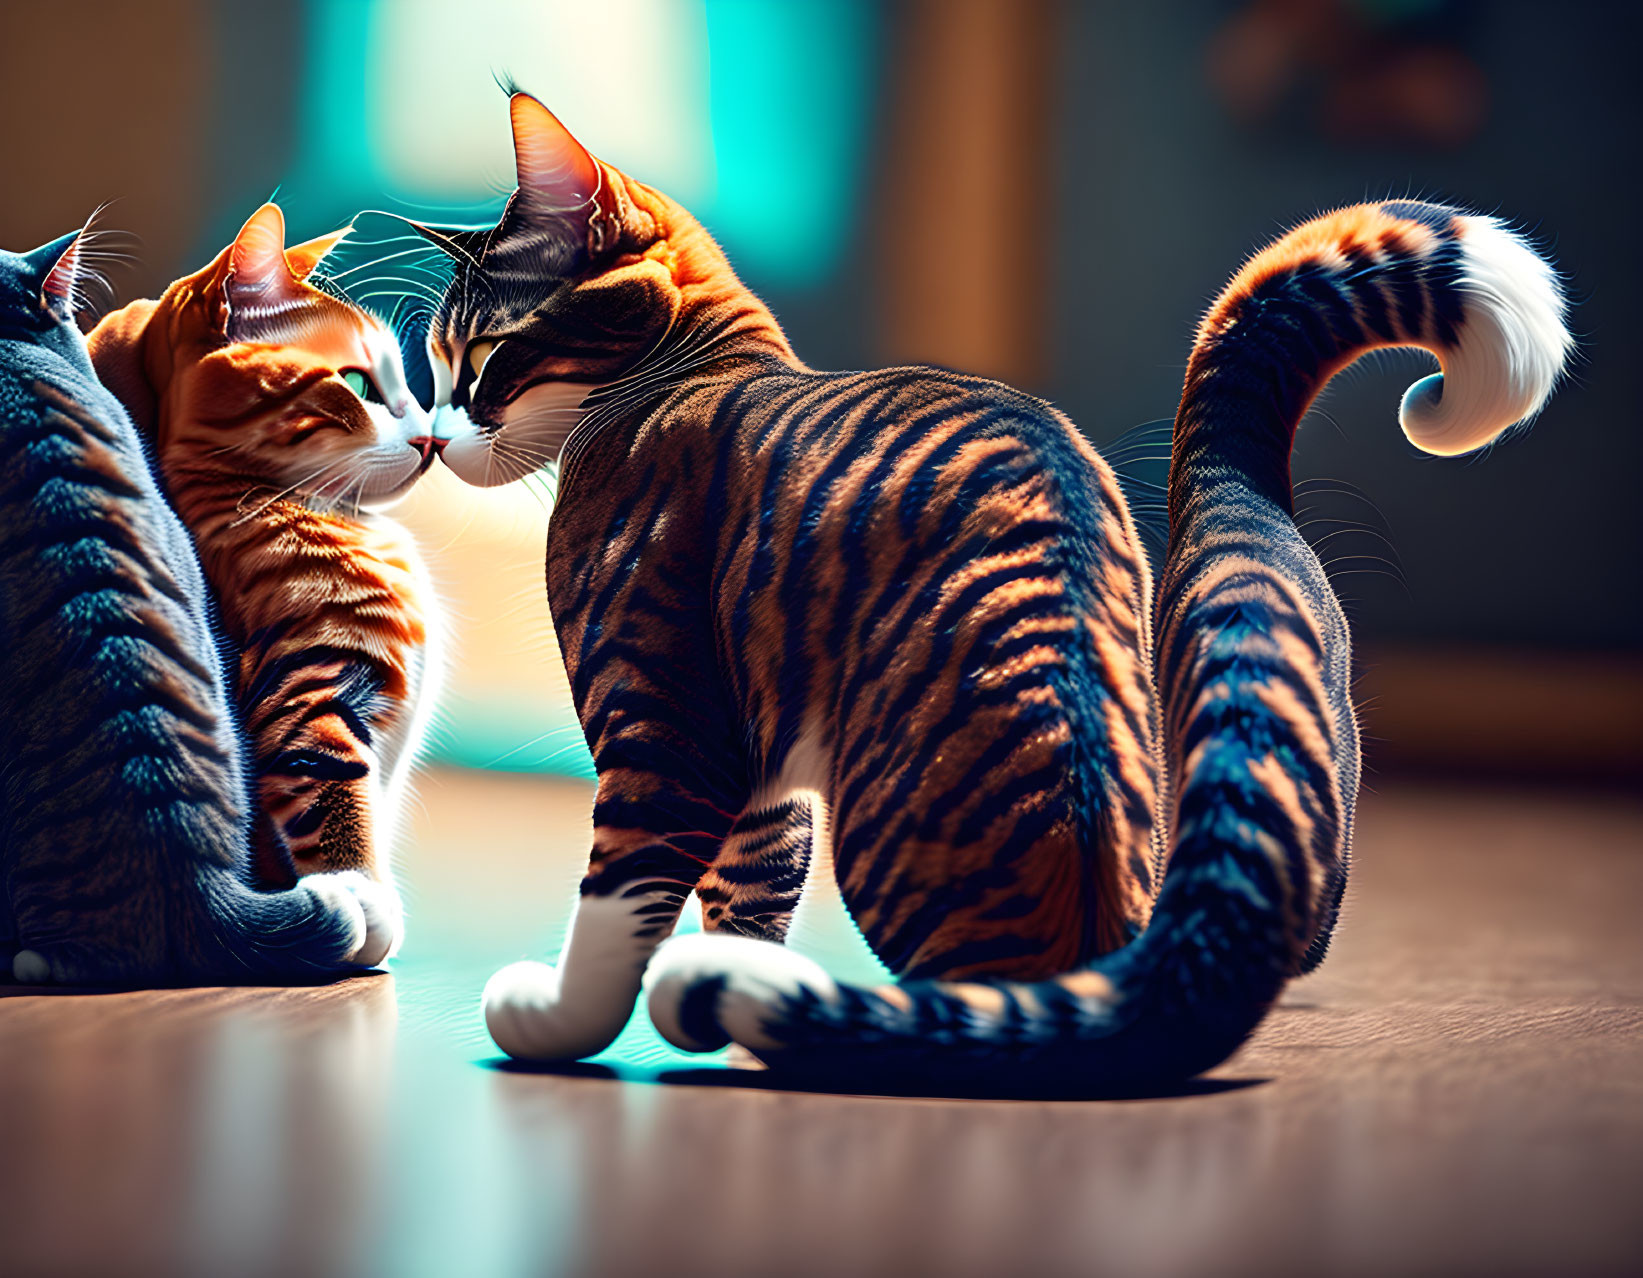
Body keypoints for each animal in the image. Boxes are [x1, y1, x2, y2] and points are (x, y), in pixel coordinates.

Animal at [410, 91, 1564, 1084]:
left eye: (483, 354)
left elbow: (620, 892)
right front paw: (740, 991)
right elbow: (755, 882)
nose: (434, 434)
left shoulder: (664, 719)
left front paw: (561, 1022)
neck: (699, 369)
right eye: (435, 356)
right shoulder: (760, 760)